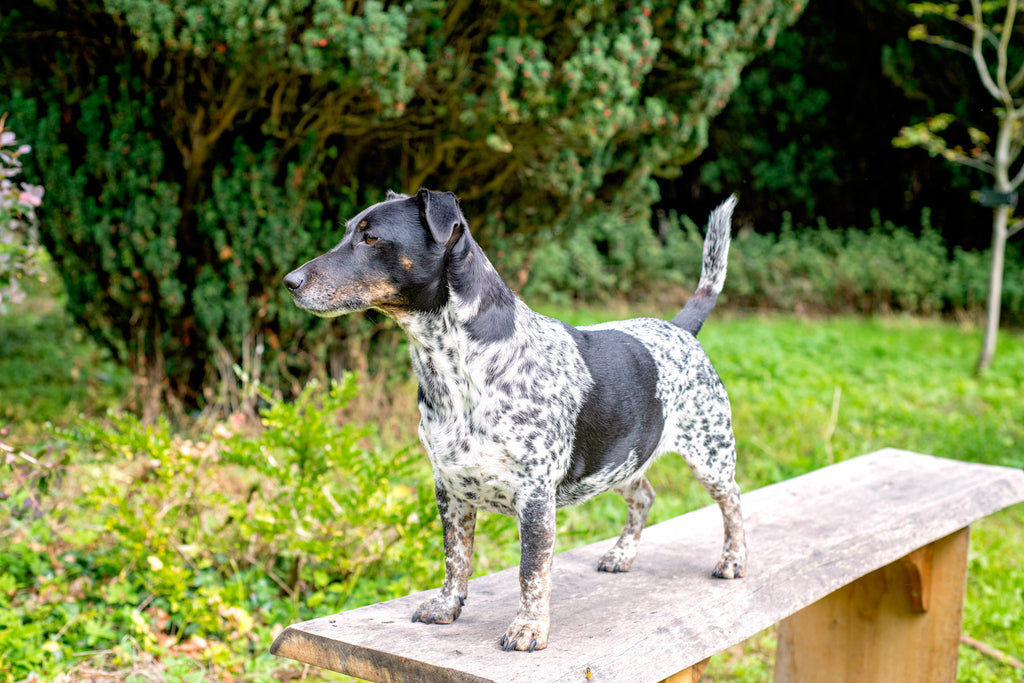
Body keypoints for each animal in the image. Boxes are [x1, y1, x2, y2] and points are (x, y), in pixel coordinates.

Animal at [284, 189, 749, 655]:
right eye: (347, 231)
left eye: (371, 238)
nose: (290, 281)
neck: (456, 370)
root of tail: (680, 329)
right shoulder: (450, 491)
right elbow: (455, 558)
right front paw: (447, 606)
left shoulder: (536, 497)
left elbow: (531, 571)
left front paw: (529, 628)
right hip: (622, 461)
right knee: (645, 497)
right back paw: (622, 555)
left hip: (709, 456)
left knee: (733, 502)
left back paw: (733, 560)